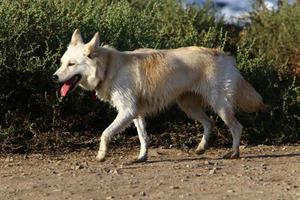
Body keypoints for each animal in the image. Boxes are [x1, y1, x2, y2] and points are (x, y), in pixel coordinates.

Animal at [52, 28, 266, 162]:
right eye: (62, 63)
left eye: (71, 64)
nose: (54, 77)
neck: (109, 68)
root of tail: (227, 56)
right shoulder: (135, 114)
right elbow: (143, 137)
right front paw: (142, 157)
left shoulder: (127, 111)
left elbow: (105, 133)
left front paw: (101, 156)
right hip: (189, 107)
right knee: (209, 123)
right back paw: (201, 148)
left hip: (219, 106)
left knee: (236, 127)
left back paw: (233, 153)